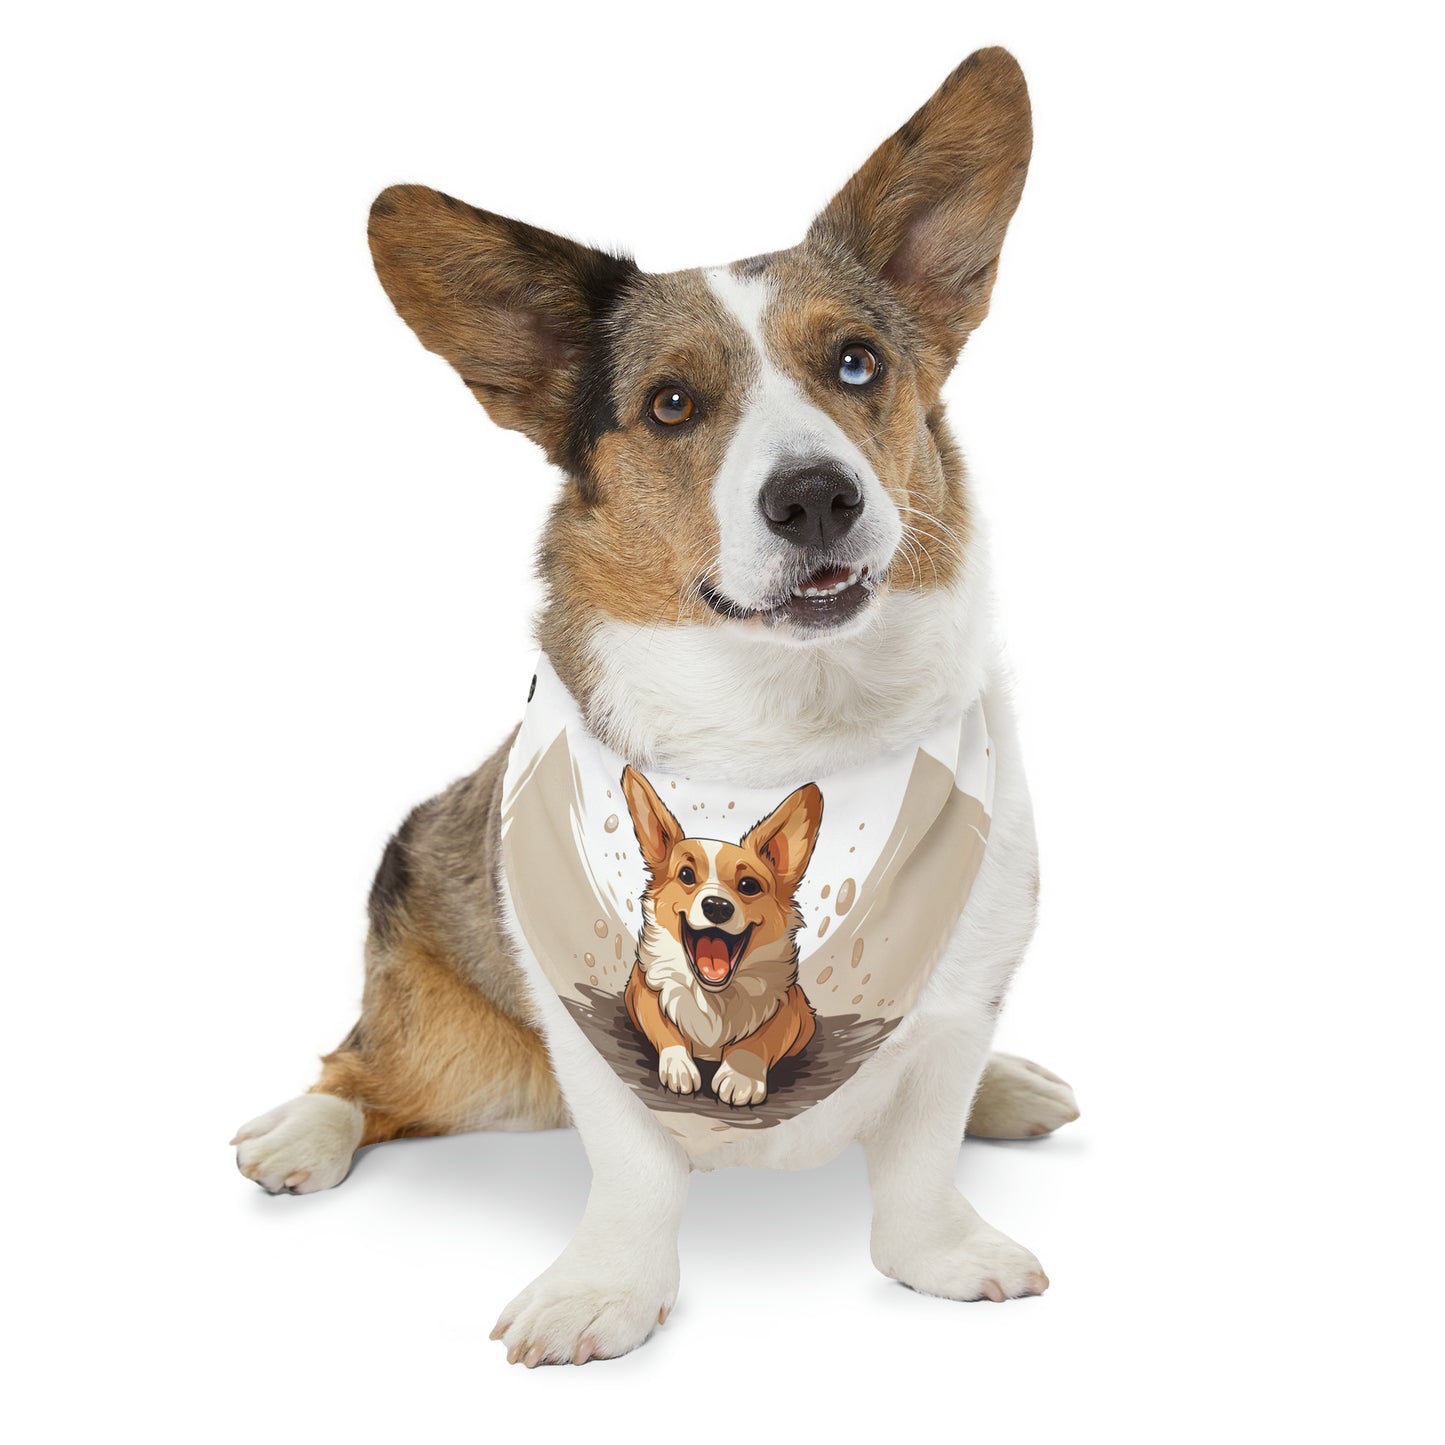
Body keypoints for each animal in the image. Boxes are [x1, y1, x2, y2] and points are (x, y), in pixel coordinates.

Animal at [621, 762, 826, 1098]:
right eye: (686, 875)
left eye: (749, 885)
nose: (717, 906)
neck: (714, 998)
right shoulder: (641, 991)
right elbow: (665, 1026)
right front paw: (679, 1065)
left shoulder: (793, 1008)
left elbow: (761, 1038)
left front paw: (741, 1075)